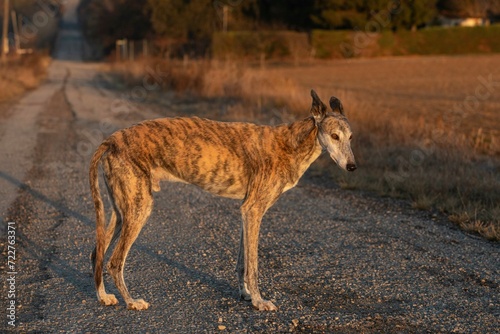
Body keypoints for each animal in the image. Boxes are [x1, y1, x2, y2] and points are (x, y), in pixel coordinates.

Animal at [90, 88, 356, 310]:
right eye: (334, 136)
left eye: (351, 137)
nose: (352, 167)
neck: (291, 143)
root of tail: (111, 139)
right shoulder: (253, 210)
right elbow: (253, 265)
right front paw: (260, 301)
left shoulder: (247, 212)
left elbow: (242, 262)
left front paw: (246, 295)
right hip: (139, 209)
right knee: (114, 261)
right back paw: (131, 301)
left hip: (122, 211)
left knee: (97, 254)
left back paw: (103, 296)